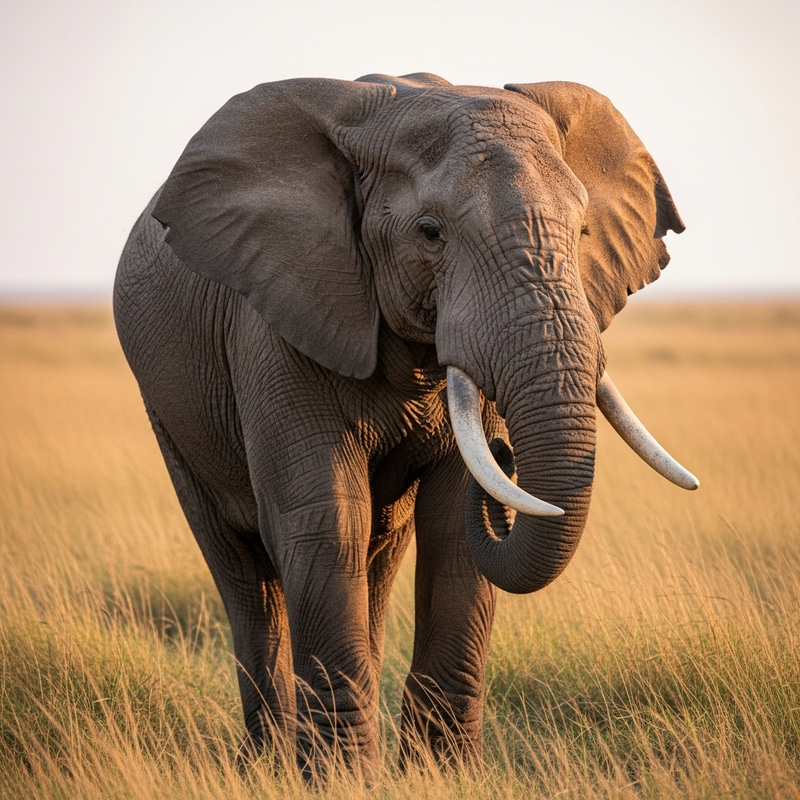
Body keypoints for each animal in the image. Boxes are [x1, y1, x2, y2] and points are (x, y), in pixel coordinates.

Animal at [114, 72, 698, 779]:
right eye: (429, 232)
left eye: (583, 231)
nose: (504, 450)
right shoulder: (278, 318)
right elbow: (325, 517)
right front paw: (340, 782)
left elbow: (451, 528)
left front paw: (444, 776)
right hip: (167, 412)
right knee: (244, 575)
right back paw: (265, 765)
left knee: (379, 554)